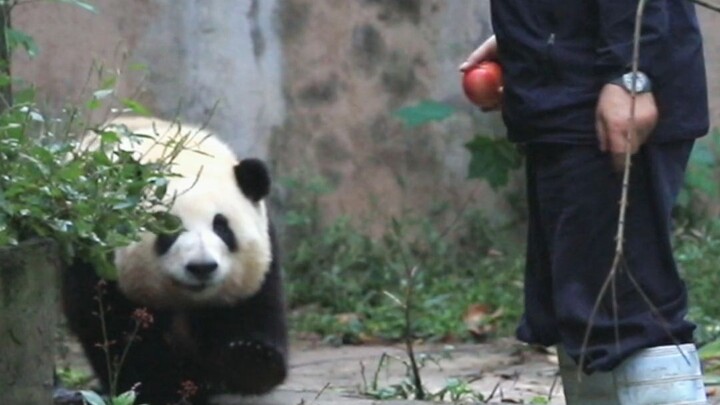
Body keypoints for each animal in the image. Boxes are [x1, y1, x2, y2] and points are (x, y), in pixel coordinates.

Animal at [61, 116, 288, 405]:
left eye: (222, 227)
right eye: (168, 227)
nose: (202, 267)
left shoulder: (263, 252)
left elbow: (254, 308)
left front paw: (249, 360)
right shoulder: (97, 253)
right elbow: (114, 328)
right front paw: (167, 384)